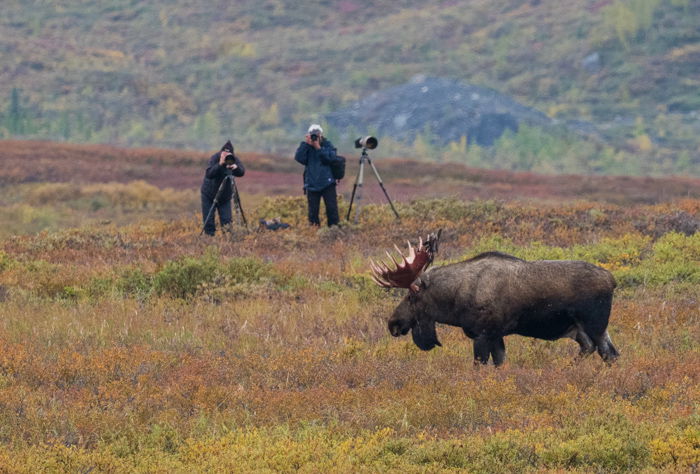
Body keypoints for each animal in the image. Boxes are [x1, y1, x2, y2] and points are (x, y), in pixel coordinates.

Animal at [372, 231, 616, 364]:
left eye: (410, 297)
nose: (393, 323)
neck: (454, 303)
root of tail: (612, 280)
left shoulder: (483, 334)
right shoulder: (497, 335)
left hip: (595, 324)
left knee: (607, 353)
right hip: (582, 329)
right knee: (599, 350)